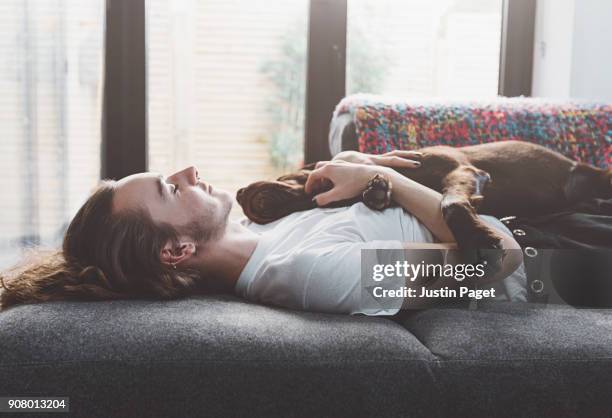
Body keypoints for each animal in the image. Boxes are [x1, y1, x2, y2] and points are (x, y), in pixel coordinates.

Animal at [235, 140, 612, 266]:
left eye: (287, 177)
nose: (239, 194)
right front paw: (376, 190)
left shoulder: (465, 170)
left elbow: (452, 203)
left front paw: (478, 237)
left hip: (593, 176)